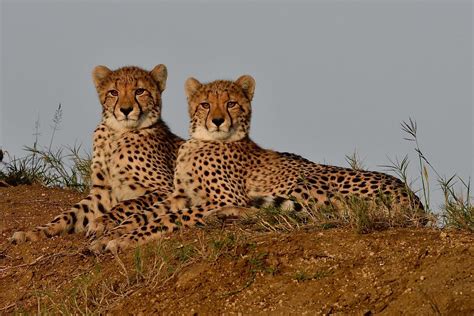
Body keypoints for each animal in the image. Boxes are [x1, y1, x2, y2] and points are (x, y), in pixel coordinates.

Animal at [11, 64, 183, 242]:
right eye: (113, 92)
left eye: (140, 91)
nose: (126, 110)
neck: (118, 133)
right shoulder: (103, 191)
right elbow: (70, 213)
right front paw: (36, 231)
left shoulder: (166, 189)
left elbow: (128, 203)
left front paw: (101, 222)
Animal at [90, 75, 424, 253]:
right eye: (205, 104)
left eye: (232, 103)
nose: (218, 120)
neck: (200, 142)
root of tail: (412, 198)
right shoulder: (178, 194)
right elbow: (147, 211)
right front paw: (112, 229)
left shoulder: (219, 197)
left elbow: (170, 217)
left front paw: (124, 237)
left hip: (307, 181)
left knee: (308, 214)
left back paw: (229, 214)